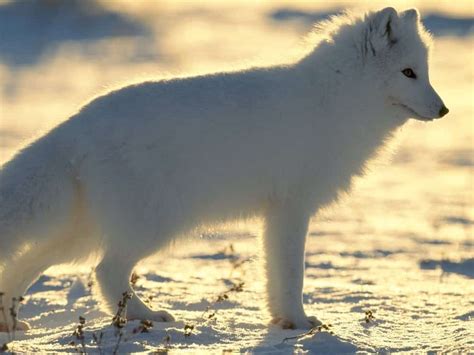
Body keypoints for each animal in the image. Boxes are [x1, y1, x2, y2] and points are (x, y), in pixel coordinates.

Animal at [0, 6, 448, 332]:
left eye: (425, 73)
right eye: (408, 73)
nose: (444, 110)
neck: (334, 100)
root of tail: (78, 121)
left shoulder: (276, 214)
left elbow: (275, 274)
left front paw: (283, 321)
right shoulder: (292, 208)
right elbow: (292, 274)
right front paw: (300, 323)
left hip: (84, 232)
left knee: (28, 264)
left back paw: (12, 324)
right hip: (151, 225)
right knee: (105, 271)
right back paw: (146, 316)